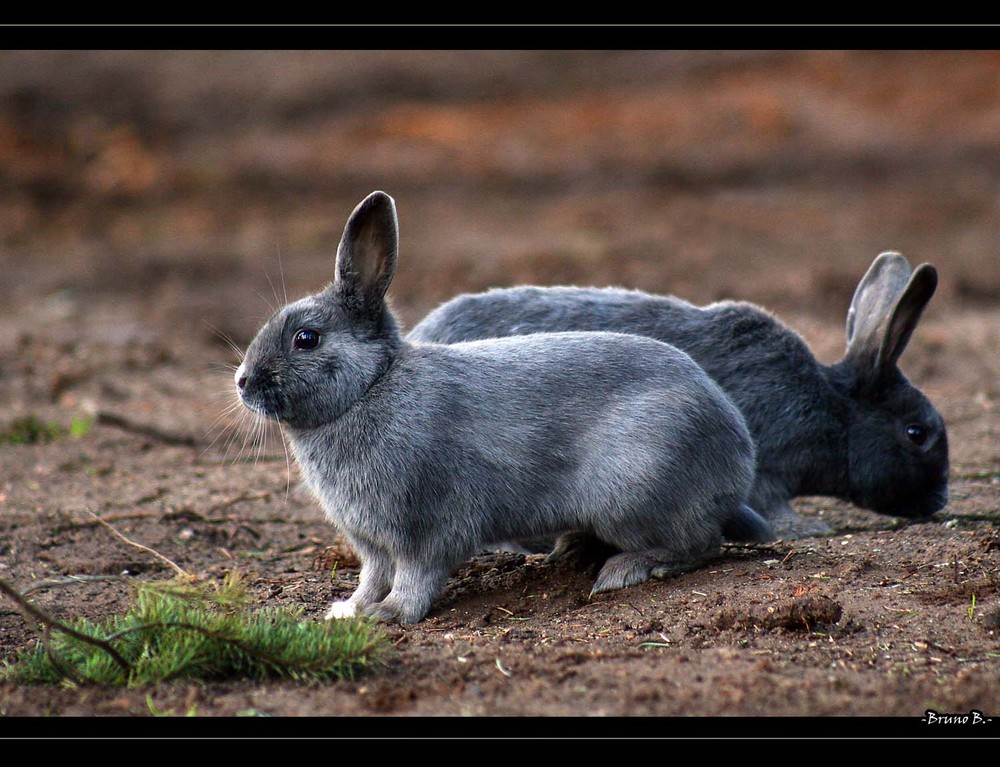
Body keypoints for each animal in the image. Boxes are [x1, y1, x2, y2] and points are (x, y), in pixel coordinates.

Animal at [236, 192, 772, 624]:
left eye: (307, 339)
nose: (242, 383)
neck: (370, 387)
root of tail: (738, 452)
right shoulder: (372, 542)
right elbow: (372, 575)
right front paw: (349, 609)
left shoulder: (423, 528)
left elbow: (415, 577)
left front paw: (391, 614)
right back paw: (570, 552)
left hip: (634, 491)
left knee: (699, 542)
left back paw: (623, 570)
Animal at [410, 252, 948, 540]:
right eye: (916, 433)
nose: (939, 501)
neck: (833, 411)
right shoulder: (769, 468)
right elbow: (774, 505)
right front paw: (812, 531)